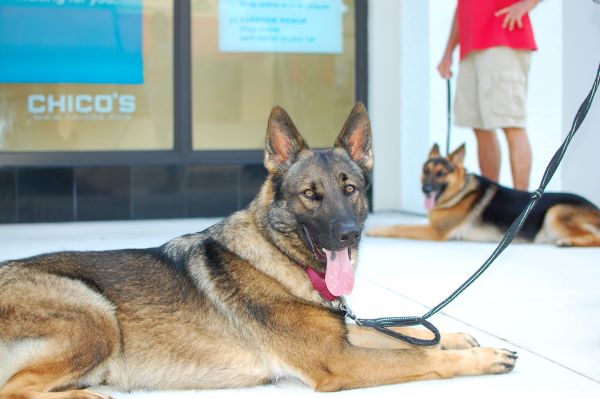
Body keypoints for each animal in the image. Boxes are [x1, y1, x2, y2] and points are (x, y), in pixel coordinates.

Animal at [0, 104, 516, 398]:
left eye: (349, 188)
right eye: (311, 195)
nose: (349, 235)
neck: (281, 258)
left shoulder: (340, 339)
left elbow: (400, 334)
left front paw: (458, 337)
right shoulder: (340, 361)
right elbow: (420, 358)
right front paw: (481, 358)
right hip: (94, 311)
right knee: (14, 389)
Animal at [366, 142, 600, 245]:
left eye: (441, 173)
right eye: (426, 171)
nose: (426, 190)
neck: (459, 193)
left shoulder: (436, 232)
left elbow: (400, 226)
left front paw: (376, 230)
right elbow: (404, 223)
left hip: (554, 214)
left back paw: (568, 242)